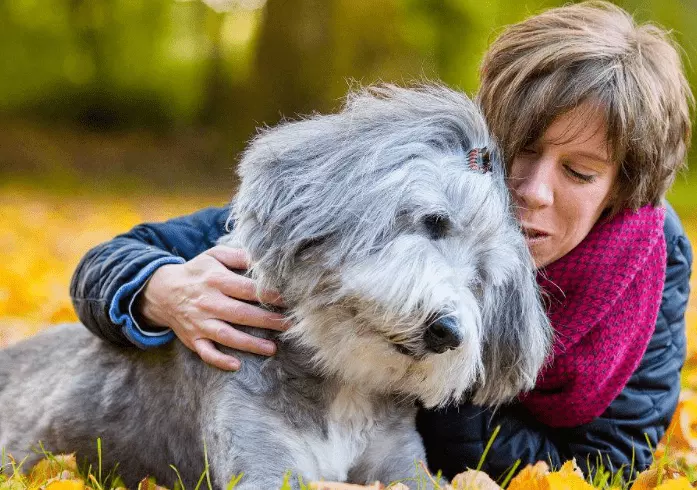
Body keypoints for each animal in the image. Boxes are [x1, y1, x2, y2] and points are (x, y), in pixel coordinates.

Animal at [0, 86, 548, 488]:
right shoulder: (263, 465)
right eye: (433, 222)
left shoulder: (403, 464)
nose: (447, 331)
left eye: (480, 278)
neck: (343, 381)